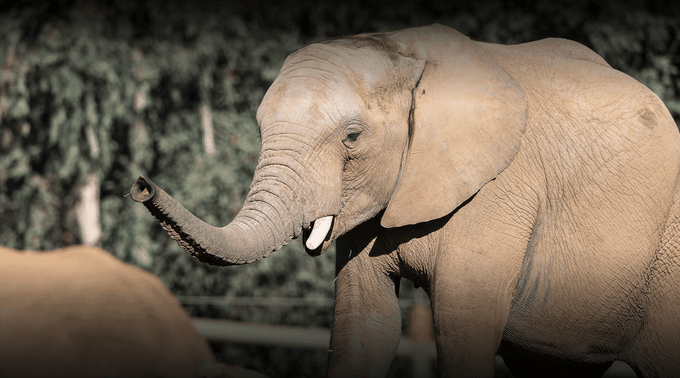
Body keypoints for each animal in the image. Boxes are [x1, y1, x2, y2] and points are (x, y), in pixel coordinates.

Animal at [130, 24, 680, 378]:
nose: (140, 185)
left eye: (352, 137)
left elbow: (463, 326)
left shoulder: (500, 192)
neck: (405, 54)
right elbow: (364, 324)